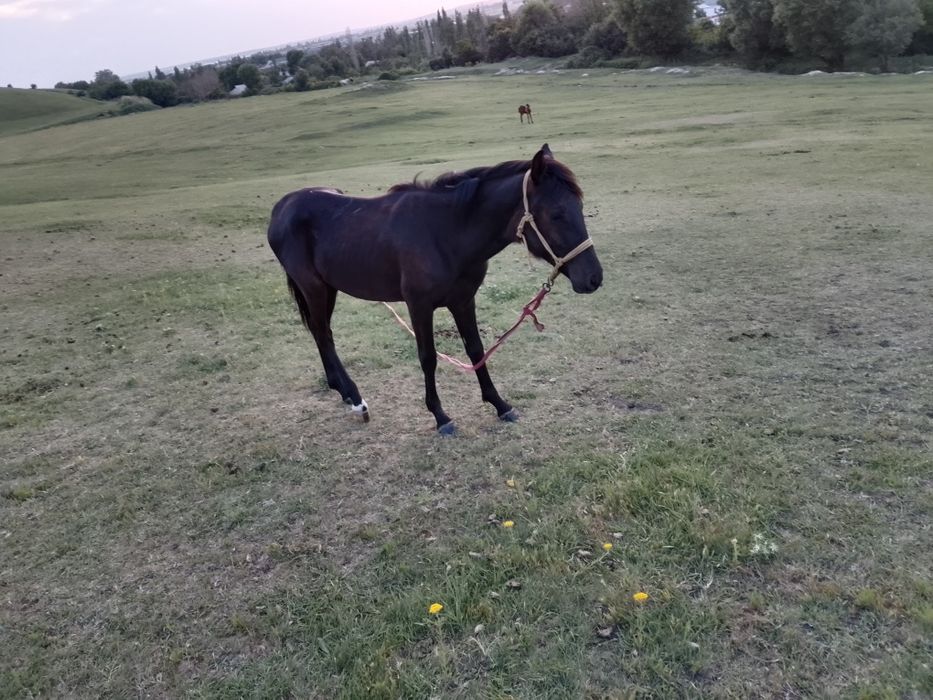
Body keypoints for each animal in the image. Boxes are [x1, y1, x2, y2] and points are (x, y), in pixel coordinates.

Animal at [267, 144, 602, 434]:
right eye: (557, 213)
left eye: (579, 206)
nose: (594, 278)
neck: (445, 232)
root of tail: (281, 208)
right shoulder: (419, 305)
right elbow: (428, 357)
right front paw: (441, 416)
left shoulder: (463, 300)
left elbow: (476, 349)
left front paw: (499, 404)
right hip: (314, 288)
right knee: (323, 334)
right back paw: (356, 399)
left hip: (328, 288)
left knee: (321, 333)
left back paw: (344, 393)